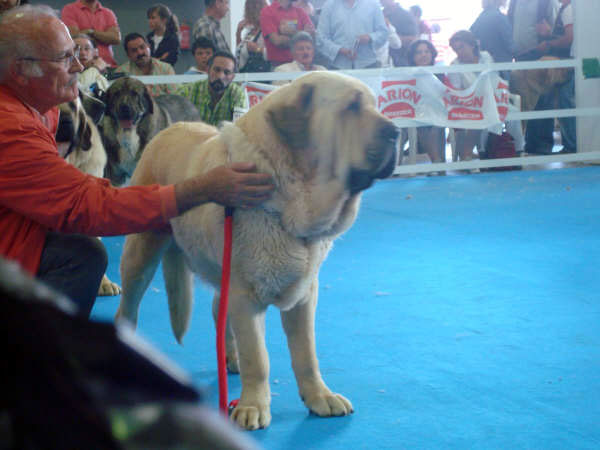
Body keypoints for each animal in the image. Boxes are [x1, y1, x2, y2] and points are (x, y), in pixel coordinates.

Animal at [116, 72, 398, 430]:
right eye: (351, 107)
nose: (396, 132)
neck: (290, 198)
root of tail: (169, 129)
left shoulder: (304, 294)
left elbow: (306, 353)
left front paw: (320, 396)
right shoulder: (246, 295)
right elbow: (259, 358)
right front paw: (253, 407)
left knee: (218, 312)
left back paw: (229, 358)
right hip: (141, 256)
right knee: (129, 308)